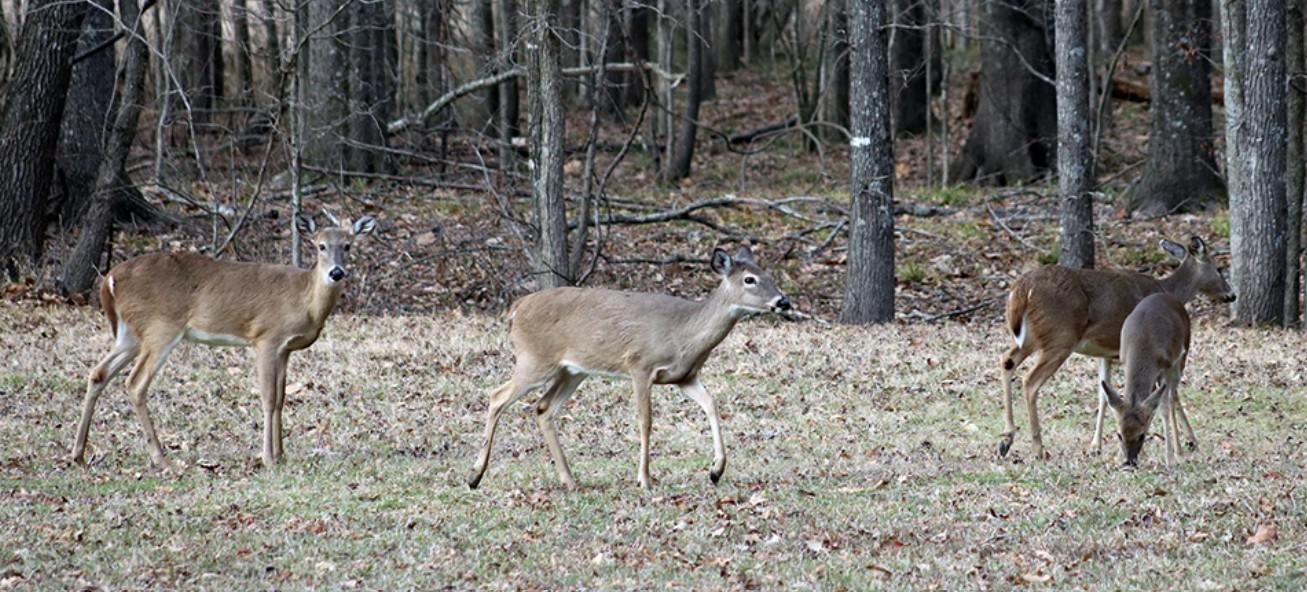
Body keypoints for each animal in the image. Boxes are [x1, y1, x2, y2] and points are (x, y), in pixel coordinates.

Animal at [71, 213, 377, 468]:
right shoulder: (266, 337)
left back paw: (78, 454)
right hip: (161, 327)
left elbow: (281, 398)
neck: (305, 300)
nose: (336, 272)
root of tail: (110, 278)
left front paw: (281, 454)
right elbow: (268, 398)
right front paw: (269, 458)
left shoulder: (285, 349)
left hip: (132, 334)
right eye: (320, 246)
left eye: (348, 245)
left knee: (99, 373)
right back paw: (161, 459)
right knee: (135, 383)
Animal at [467, 245, 791, 490]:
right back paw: (475, 476)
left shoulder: (685, 377)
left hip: (572, 370)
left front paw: (716, 470)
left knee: (543, 407)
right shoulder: (640, 365)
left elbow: (712, 404)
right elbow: (645, 421)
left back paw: (569, 480)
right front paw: (645, 480)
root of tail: (515, 309)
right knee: (497, 397)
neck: (684, 334)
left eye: (770, 275)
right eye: (749, 279)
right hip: (534, 359)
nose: (784, 301)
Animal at [1100, 292, 1190, 467]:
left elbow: (1164, 408)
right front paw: (1117, 457)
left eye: (1141, 435)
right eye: (1119, 434)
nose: (1129, 461)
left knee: (1171, 399)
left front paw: (1170, 459)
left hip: (1181, 358)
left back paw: (1180, 452)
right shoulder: (1124, 359)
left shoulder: (1166, 366)